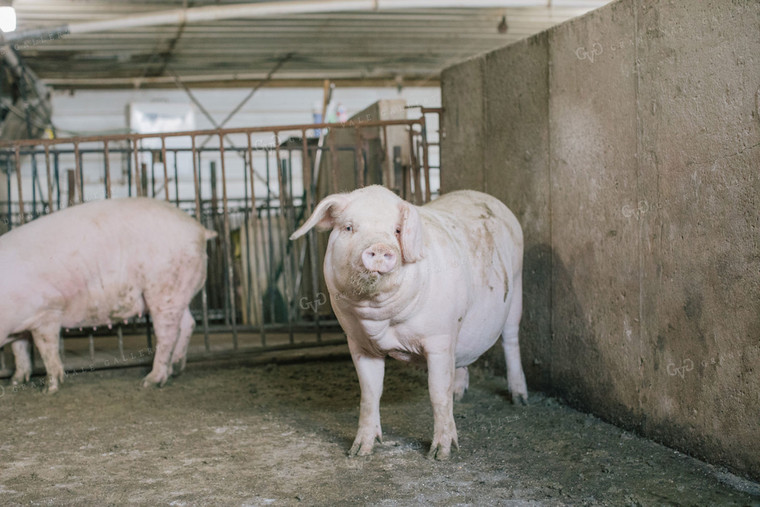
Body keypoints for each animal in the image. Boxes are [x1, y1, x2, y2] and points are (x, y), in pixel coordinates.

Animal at [0, 197, 220, 392]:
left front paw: (49, 389)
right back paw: (175, 369)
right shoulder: (22, 326)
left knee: (168, 334)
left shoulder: (47, 312)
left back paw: (150, 382)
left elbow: (47, 350)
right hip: (177, 291)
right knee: (188, 323)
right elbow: (19, 350)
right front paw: (15, 382)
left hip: (164, 288)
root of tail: (200, 230)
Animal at [290, 186, 528, 460]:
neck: (381, 321)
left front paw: (439, 454)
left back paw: (520, 399)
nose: (379, 247)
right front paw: (359, 451)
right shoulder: (359, 342)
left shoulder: (440, 338)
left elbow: (438, 393)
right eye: (349, 227)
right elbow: (370, 393)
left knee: (511, 341)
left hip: (516, 288)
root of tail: (488, 198)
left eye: (397, 230)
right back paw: (460, 394)